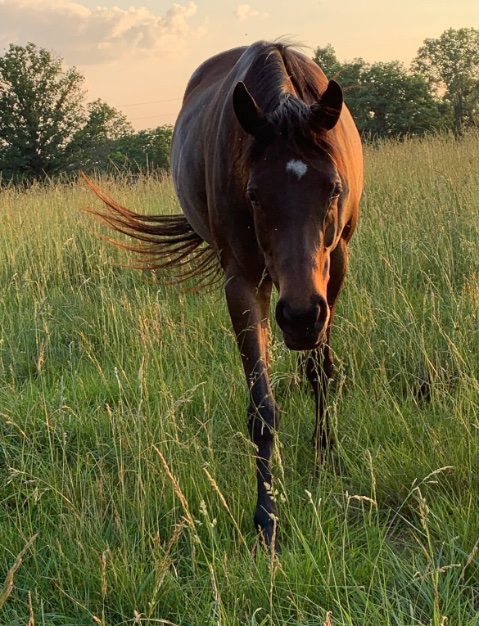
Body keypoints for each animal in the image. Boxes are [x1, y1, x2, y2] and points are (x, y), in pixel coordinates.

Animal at [86, 40, 364, 544]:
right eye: (253, 194)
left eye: (334, 187)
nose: (299, 317)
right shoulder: (242, 283)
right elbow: (262, 407)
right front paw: (267, 517)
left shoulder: (335, 270)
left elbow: (320, 372)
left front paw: (326, 455)